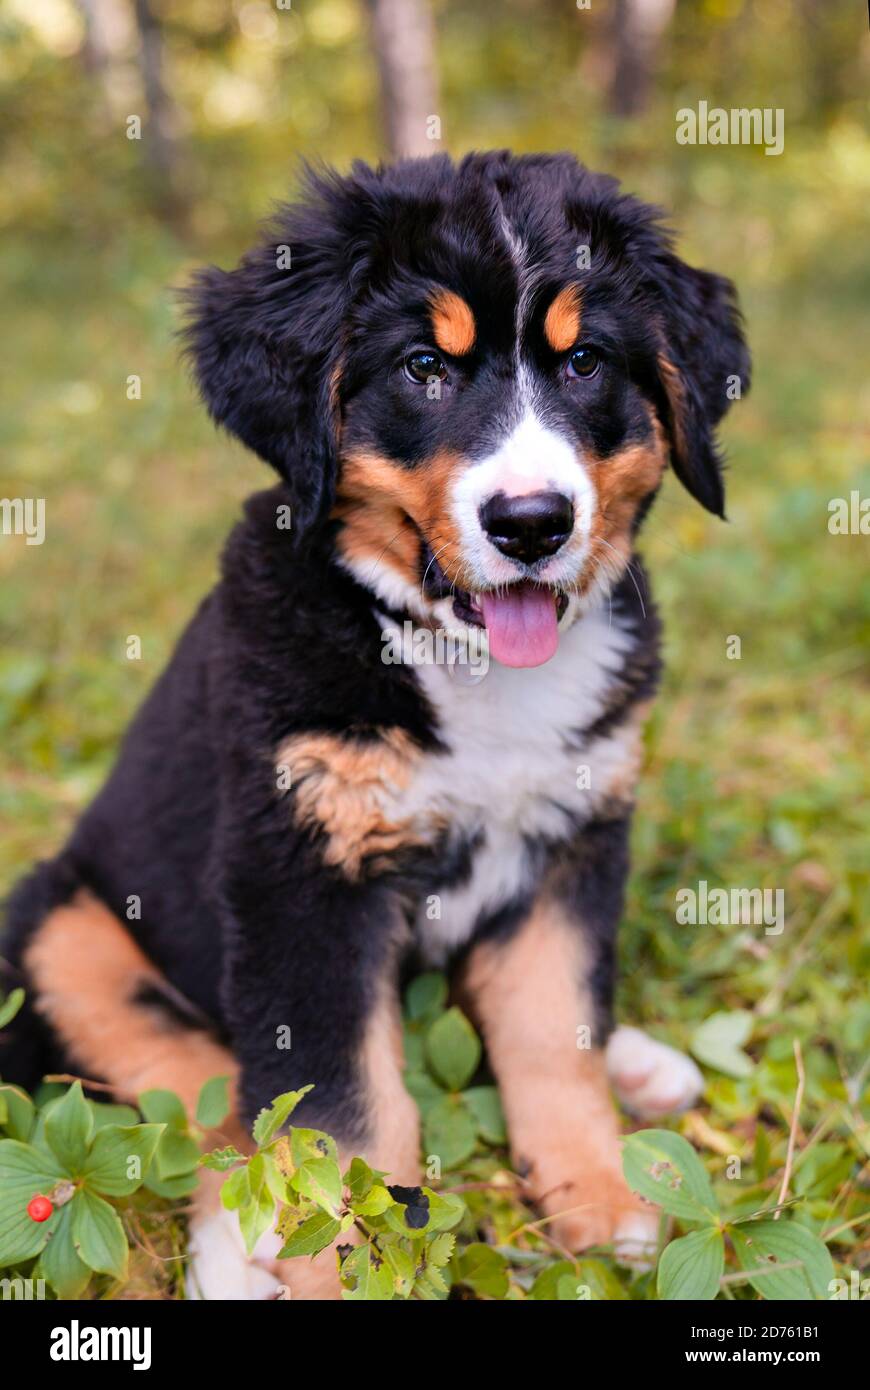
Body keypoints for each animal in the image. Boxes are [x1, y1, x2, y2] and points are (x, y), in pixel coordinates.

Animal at [0, 149, 744, 1289]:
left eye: (586, 365)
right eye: (423, 369)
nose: (533, 524)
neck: (466, 668)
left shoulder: (571, 838)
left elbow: (553, 1026)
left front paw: (601, 1195)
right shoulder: (300, 875)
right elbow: (338, 1107)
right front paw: (342, 1259)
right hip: (61, 928)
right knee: (203, 1091)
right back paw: (235, 1251)